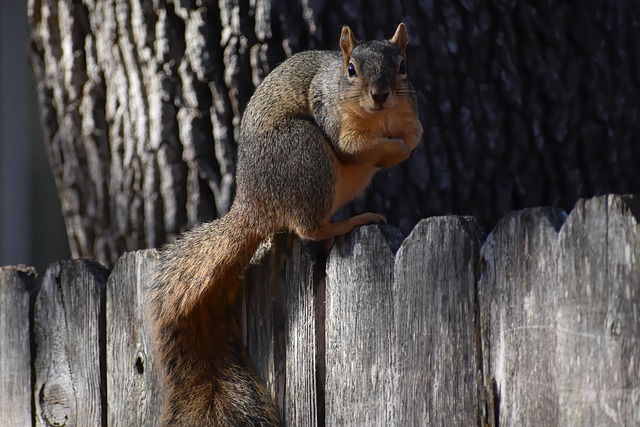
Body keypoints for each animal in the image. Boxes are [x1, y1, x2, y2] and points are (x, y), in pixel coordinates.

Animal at [149, 23, 423, 426]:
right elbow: (353, 149)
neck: (379, 119)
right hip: (304, 152)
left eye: (403, 66)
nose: (380, 94)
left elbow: (412, 136)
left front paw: (404, 147)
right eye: (352, 69)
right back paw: (352, 220)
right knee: (308, 228)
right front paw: (394, 149)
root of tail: (253, 205)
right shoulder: (332, 118)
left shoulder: (408, 112)